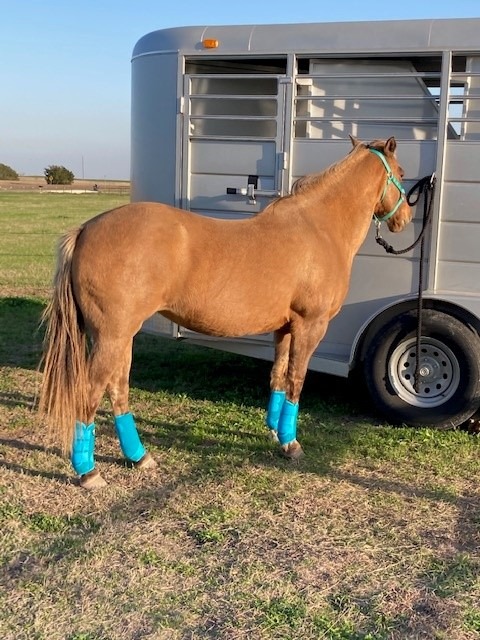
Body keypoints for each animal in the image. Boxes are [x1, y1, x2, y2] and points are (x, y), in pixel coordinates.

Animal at [38, 136, 411, 489]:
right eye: (403, 173)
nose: (405, 219)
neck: (318, 229)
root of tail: (86, 230)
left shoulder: (285, 328)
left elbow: (277, 377)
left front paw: (274, 432)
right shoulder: (310, 325)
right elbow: (296, 380)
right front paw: (291, 445)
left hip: (121, 337)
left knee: (118, 389)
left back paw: (139, 457)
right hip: (111, 337)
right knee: (90, 393)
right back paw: (88, 472)